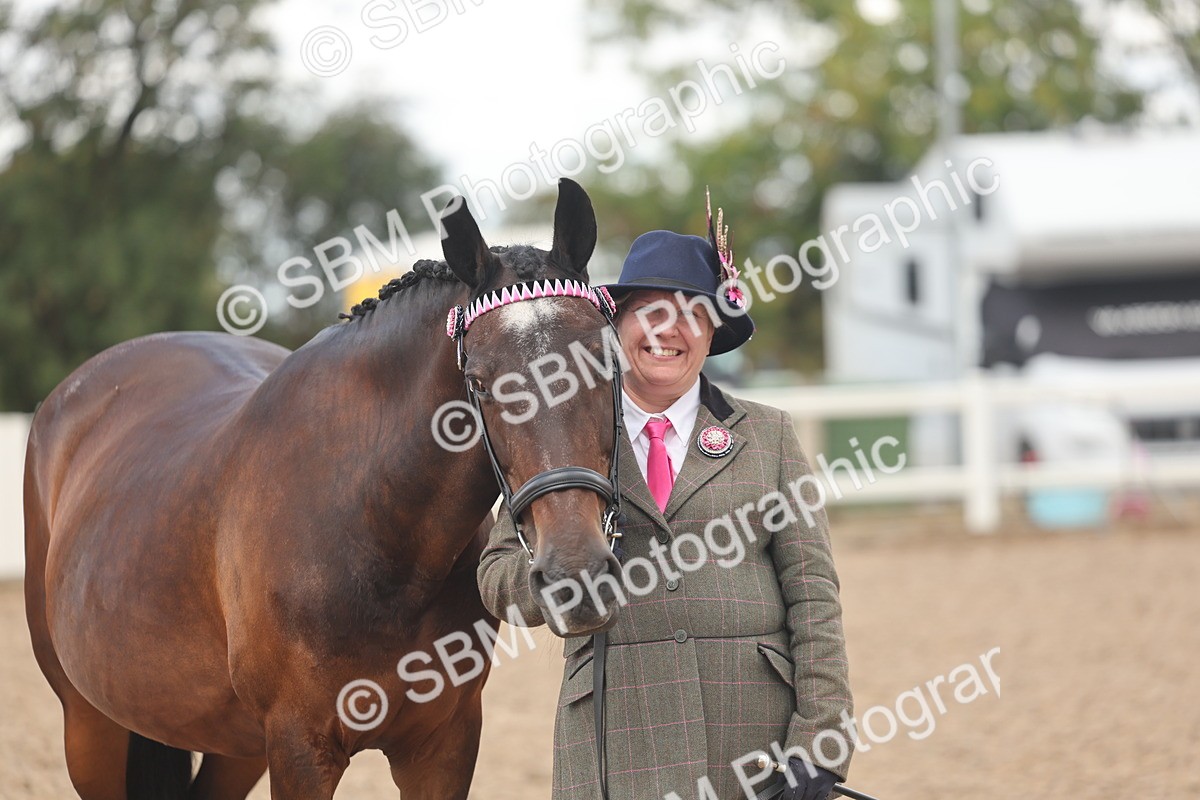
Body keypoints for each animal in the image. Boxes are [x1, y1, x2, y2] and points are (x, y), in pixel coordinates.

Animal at [23, 178, 624, 799]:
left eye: (607, 362)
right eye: (480, 383)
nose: (577, 575)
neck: (373, 525)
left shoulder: (443, 745)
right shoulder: (300, 747)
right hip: (89, 725)